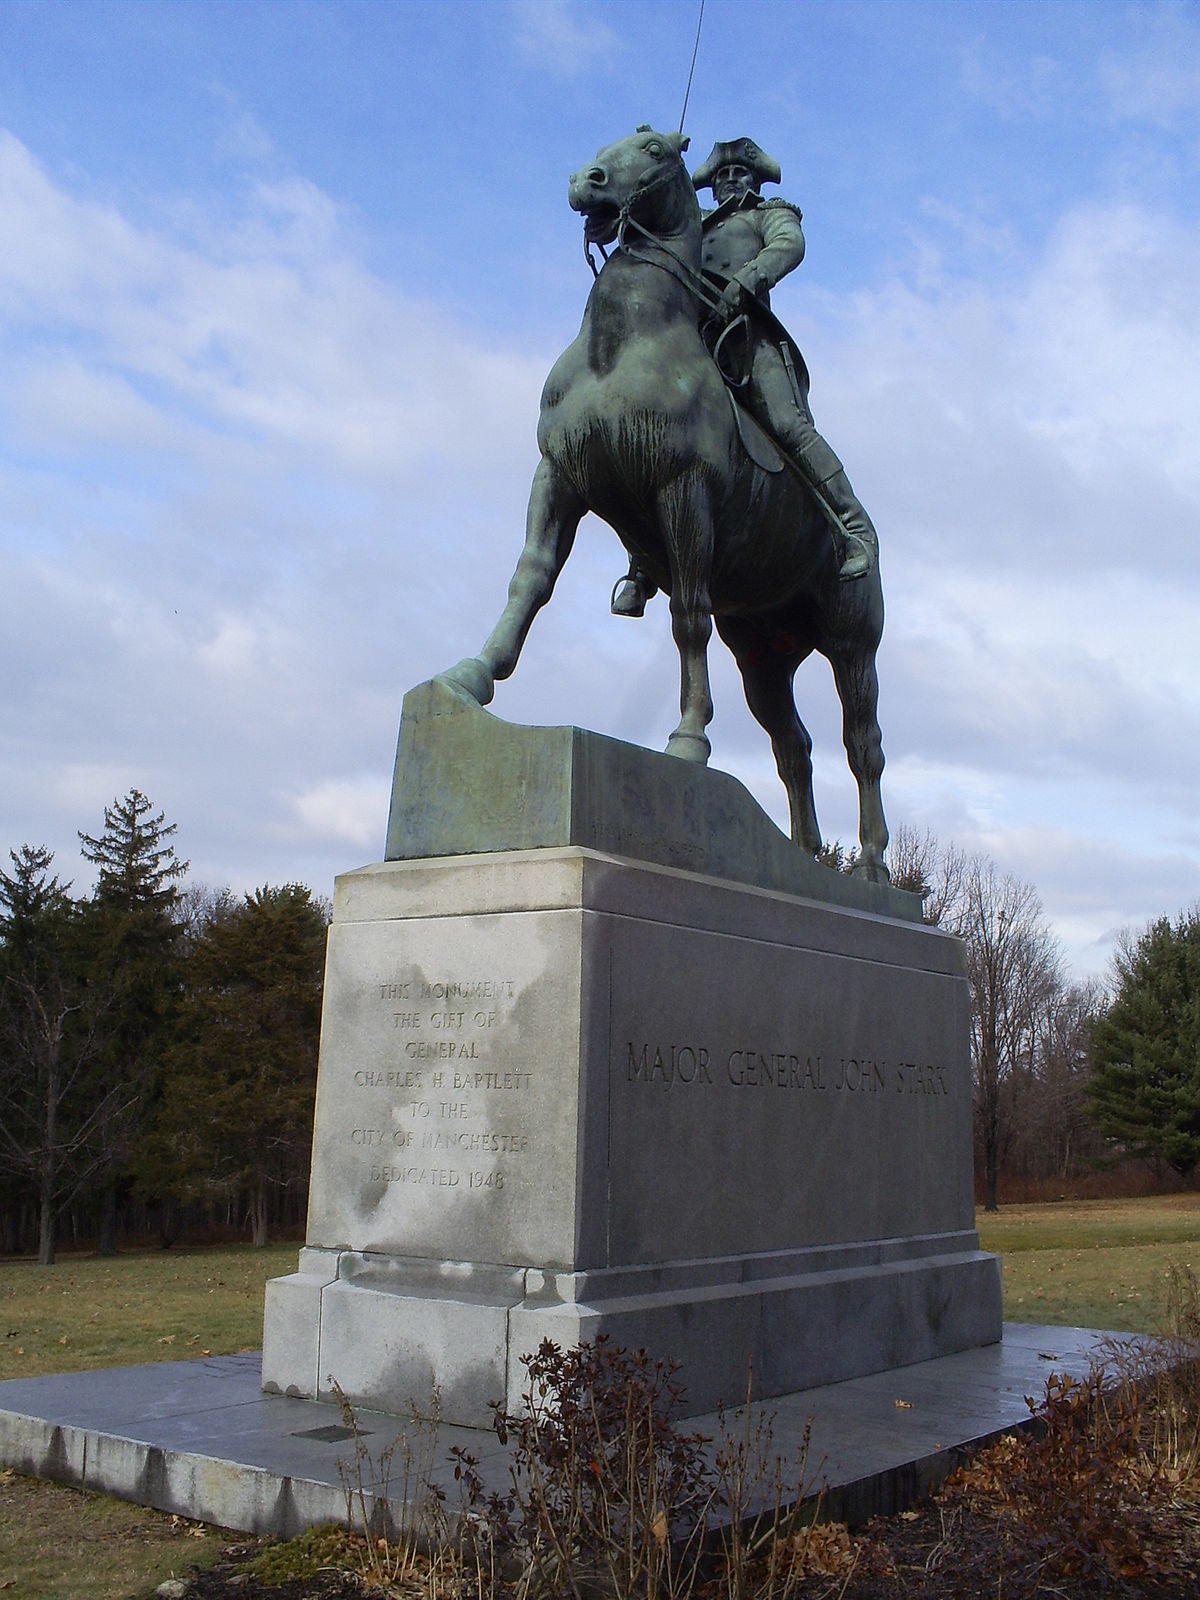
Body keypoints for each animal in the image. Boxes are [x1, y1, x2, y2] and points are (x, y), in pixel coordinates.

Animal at [441, 126, 896, 883]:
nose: (586, 181)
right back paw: (803, 856)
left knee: (863, 747)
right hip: (764, 659)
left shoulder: (684, 491)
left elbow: (688, 614)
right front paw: (474, 674)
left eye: (654, 149)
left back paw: (872, 868)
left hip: (852, 646)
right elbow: (530, 579)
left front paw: (687, 739)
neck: (622, 349)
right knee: (794, 748)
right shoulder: (557, 478)